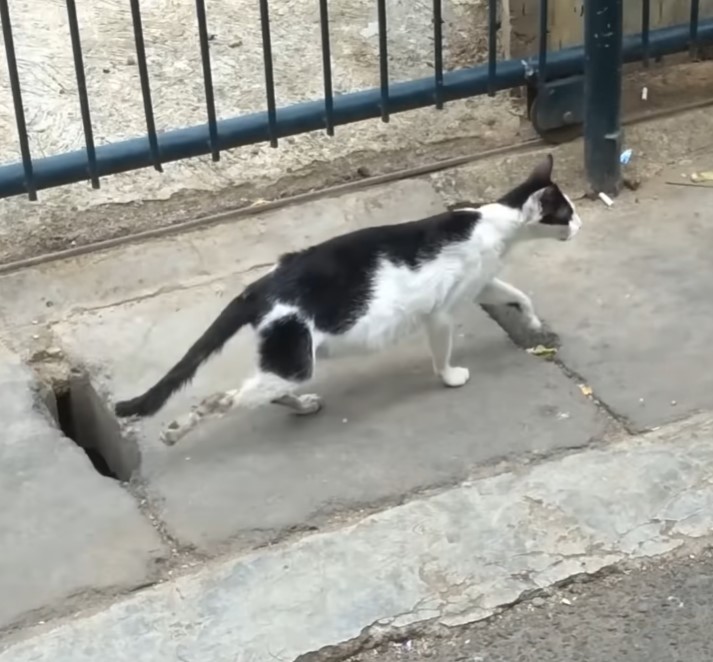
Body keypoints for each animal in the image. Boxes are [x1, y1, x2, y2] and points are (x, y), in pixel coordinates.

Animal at [115, 155, 580, 446]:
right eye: (567, 214)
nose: (580, 225)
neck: (495, 225)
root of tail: (262, 285)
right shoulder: (442, 311)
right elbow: (442, 351)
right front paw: (450, 377)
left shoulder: (481, 284)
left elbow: (518, 295)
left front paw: (534, 323)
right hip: (295, 358)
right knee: (222, 400)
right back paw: (178, 428)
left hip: (289, 360)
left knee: (265, 389)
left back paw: (302, 405)